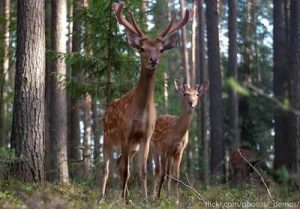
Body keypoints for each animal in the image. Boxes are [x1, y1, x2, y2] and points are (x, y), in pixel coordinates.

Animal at [101, 2, 190, 203]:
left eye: (161, 49)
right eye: (142, 48)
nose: (153, 60)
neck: (140, 112)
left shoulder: (145, 137)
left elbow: (142, 172)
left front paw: (145, 199)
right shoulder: (125, 134)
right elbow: (127, 172)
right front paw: (125, 201)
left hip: (132, 146)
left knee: (119, 163)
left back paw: (126, 197)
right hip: (107, 137)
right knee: (108, 168)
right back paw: (102, 197)